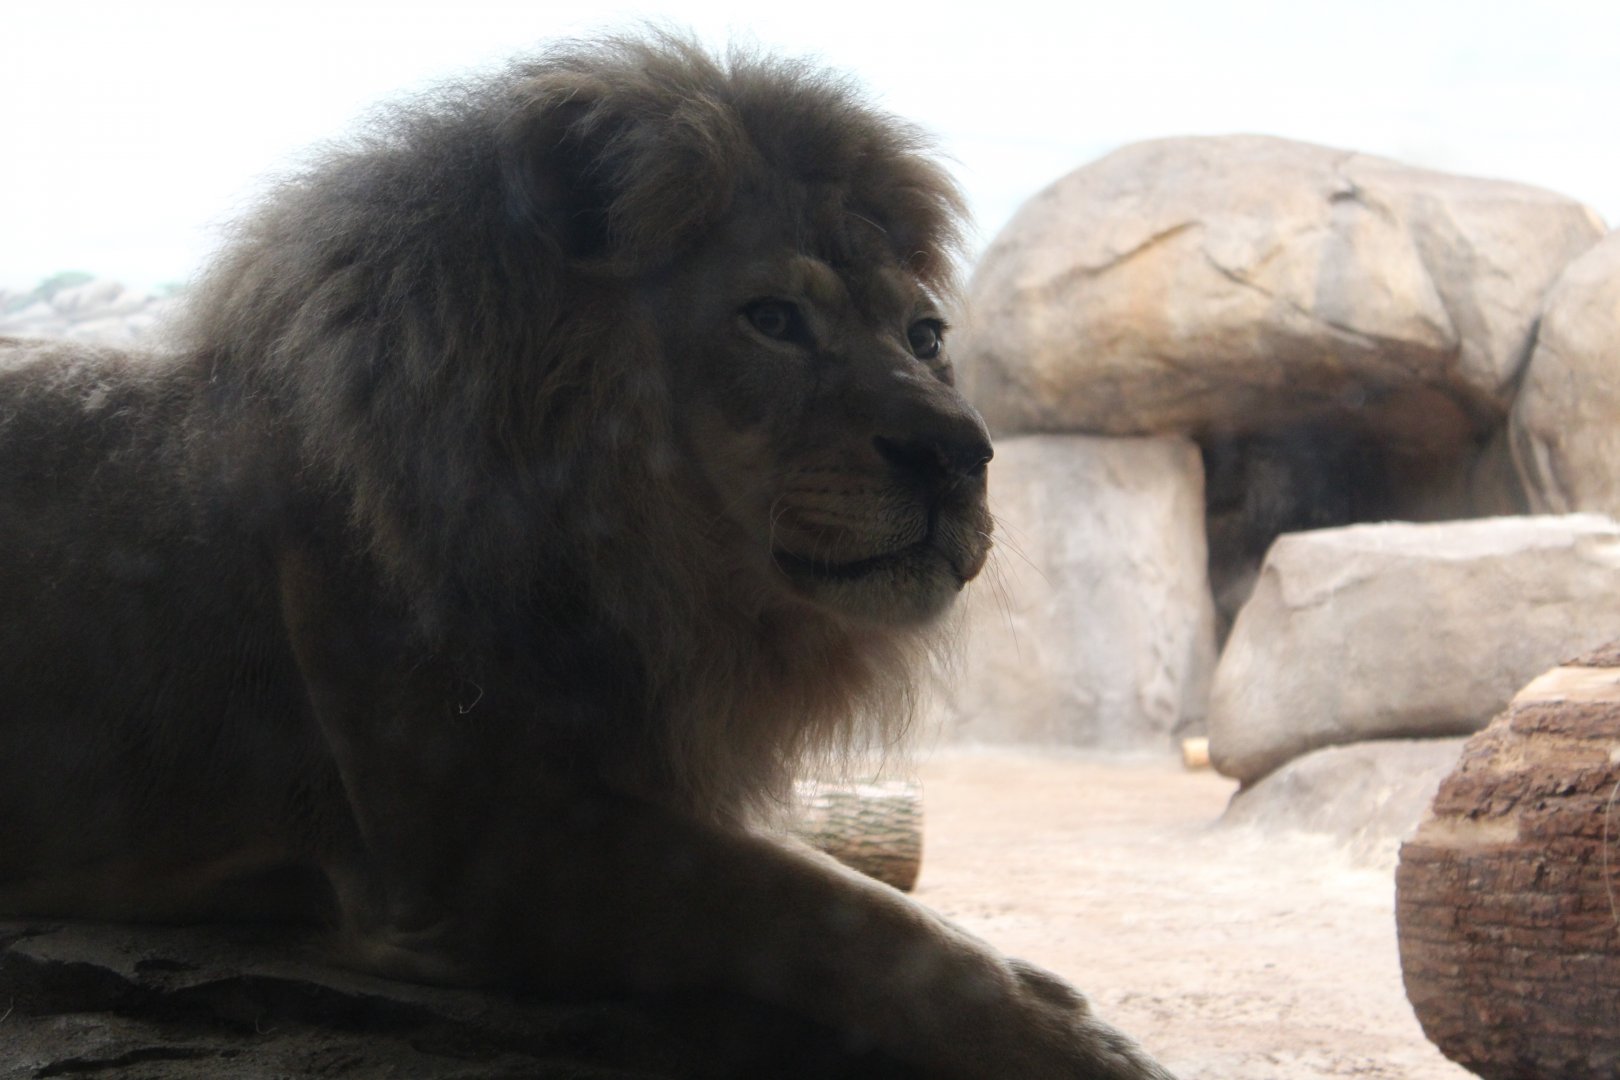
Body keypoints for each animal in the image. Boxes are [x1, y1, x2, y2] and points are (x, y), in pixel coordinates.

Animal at [0, 35, 1174, 1079]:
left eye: (926, 339)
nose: (961, 456)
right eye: (772, 318)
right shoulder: (475, 859)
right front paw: (1081, 1040)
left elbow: (840, 882)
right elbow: (828, 910)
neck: (641, 574)